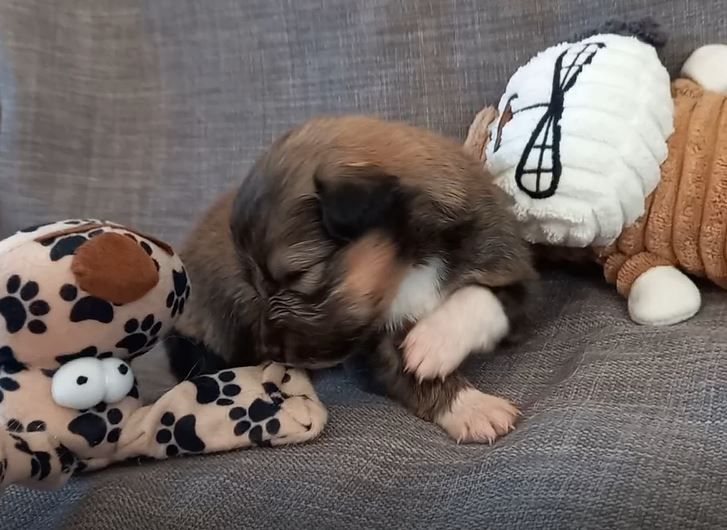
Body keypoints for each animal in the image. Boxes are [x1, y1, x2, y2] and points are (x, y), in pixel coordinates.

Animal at [165, 115, 536, 443]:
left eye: (299, 274)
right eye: (255, 286)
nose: (269, 348)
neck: (406, 264)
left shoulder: (509, 266)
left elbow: (483, 298)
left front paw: (434, 342)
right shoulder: (373, 346)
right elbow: (408, 372)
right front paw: (473, 407)